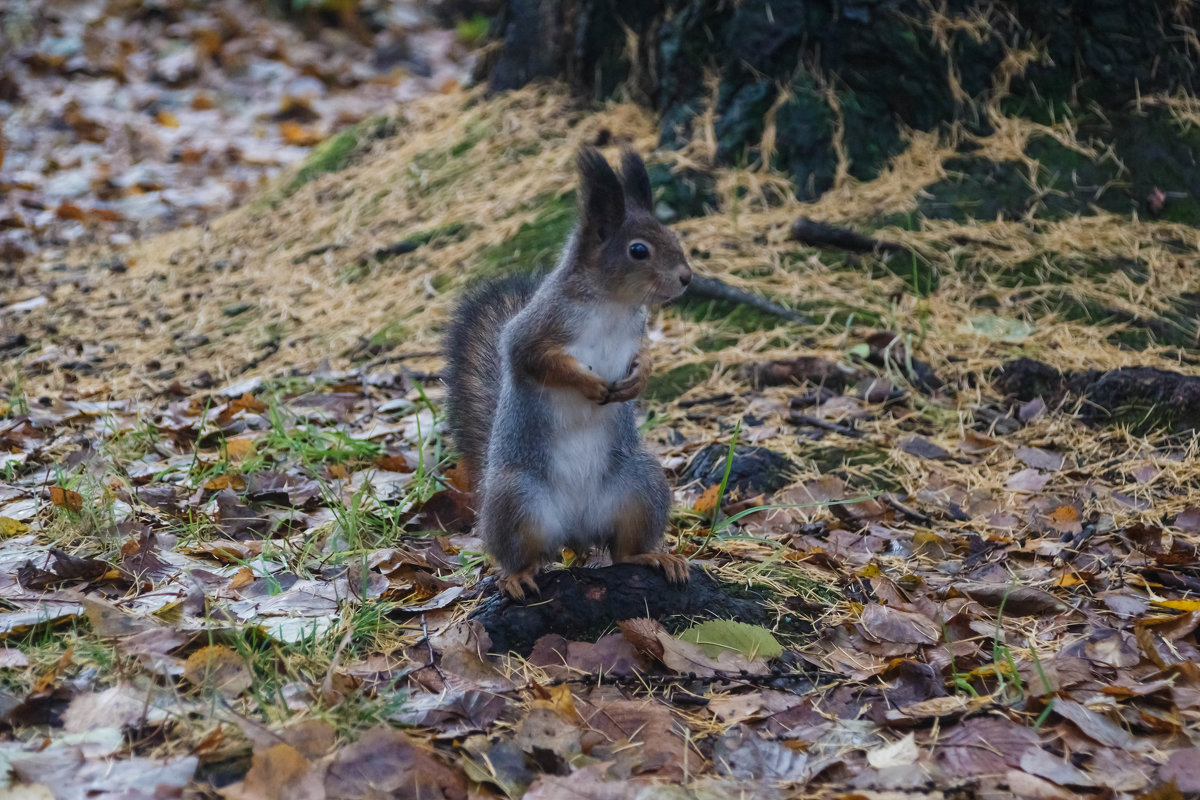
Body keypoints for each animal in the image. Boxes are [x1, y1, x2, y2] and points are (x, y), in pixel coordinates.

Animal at [446, 146, 696, 599]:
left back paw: (653, 556)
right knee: (523, 555)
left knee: (623, 550)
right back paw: (517, 577)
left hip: (640, 484)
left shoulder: (636, 331)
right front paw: (589, 384)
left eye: (673, 237)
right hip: (516, 499)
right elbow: (537, 360)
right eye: (638, 251)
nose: (687, 278)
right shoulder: (535, 330)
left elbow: (645, 355)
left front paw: (639, 378)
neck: (613, 303)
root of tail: (577, 531)